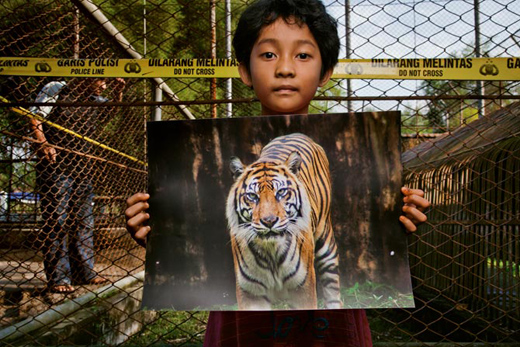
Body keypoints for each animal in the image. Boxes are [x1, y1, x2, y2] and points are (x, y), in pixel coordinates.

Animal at [224, 133, 342, 310]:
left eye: (281, 192)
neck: (271, 252)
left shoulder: (303, 289)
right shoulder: (251, 293)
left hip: (325, 240)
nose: (269, 221)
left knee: (333, 288)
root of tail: (295, 134)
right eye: (252, 196)